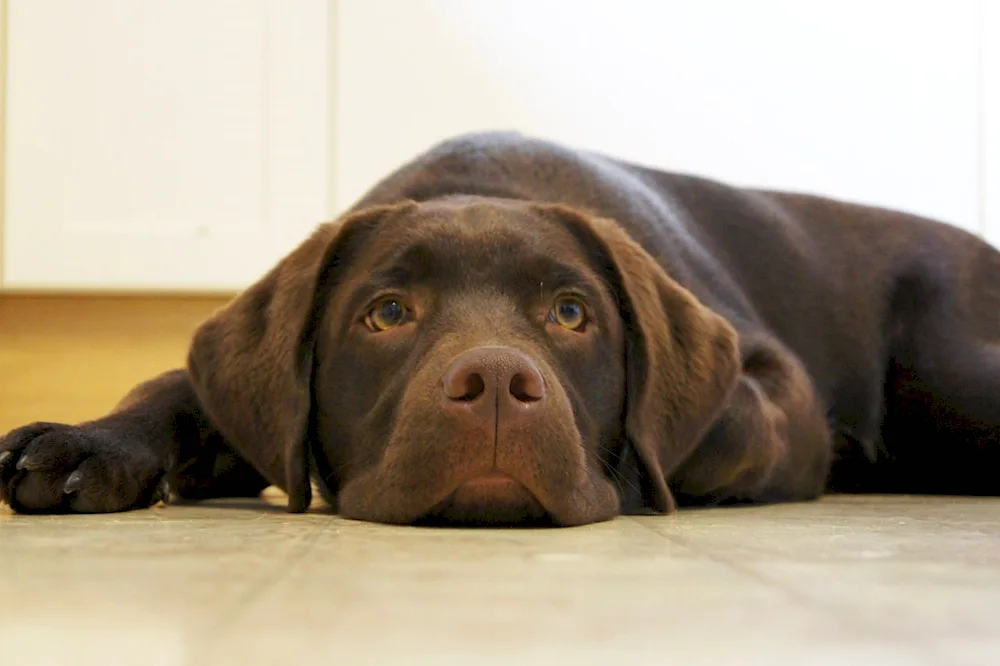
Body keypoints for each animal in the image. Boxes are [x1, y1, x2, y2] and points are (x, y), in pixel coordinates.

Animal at [1, 131, 1000, 524]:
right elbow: (178, 386)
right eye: (387, 314)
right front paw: (95, 441)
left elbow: (710, 433)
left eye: (571, 314)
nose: (492, 386)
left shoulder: (777, 391)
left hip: (952, 370)